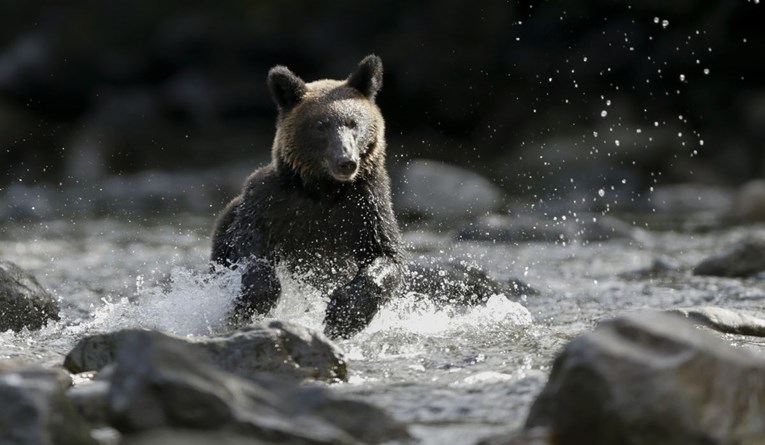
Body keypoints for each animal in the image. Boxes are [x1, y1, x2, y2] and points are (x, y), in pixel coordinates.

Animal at [209, 56, 400, 340]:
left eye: (354, 123)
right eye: (321, 125)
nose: (346, 161)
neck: (323, 190)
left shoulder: (366, 206)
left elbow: (385, 255)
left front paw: (344, 314)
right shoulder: (270, 202)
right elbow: (250, 243)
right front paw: (256, 300)